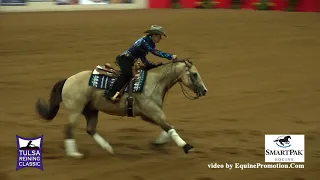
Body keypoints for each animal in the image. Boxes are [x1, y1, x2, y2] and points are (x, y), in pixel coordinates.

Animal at [36, 58, 209, 158]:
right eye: (194, 74)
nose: (204, 90)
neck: (153, 82)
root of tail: (68, 80)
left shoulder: (148, 114)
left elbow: (167, 127)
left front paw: (158, 143)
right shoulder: (153, 111)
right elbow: (169, 127)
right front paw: (187, 147)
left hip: (91, 110)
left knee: (90, 129)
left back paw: (108, 148)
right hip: (75, 110)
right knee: (69, 129)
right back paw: (74, 153)